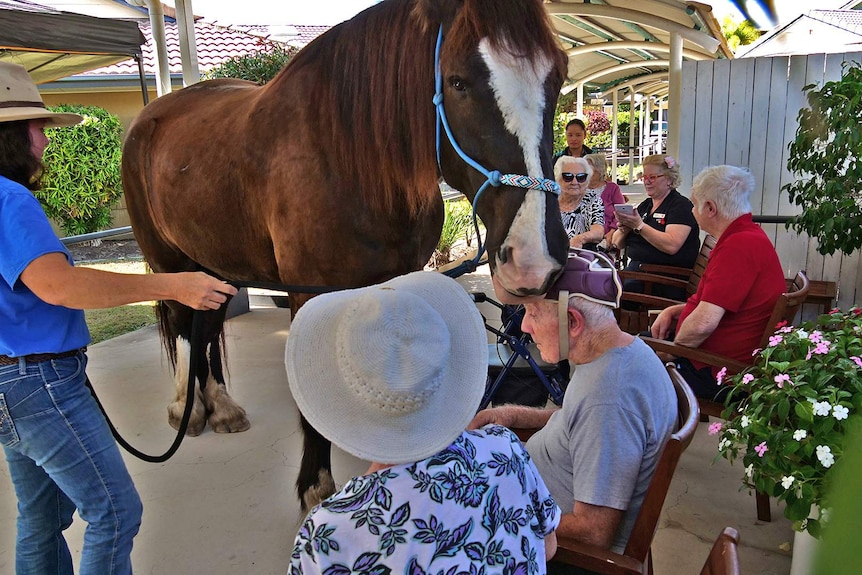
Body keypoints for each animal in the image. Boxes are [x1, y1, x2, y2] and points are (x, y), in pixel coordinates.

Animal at [120, 0, 568, 510]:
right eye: (457, 81)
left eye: (557, 76)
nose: (535, 261)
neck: (347, 163)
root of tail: (152, 115)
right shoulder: (307, 294)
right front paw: (315, 485)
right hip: (171, 263)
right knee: (183, 325)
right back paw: (186, 408)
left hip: (217, 265)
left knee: (208, 325)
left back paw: (221, 407)